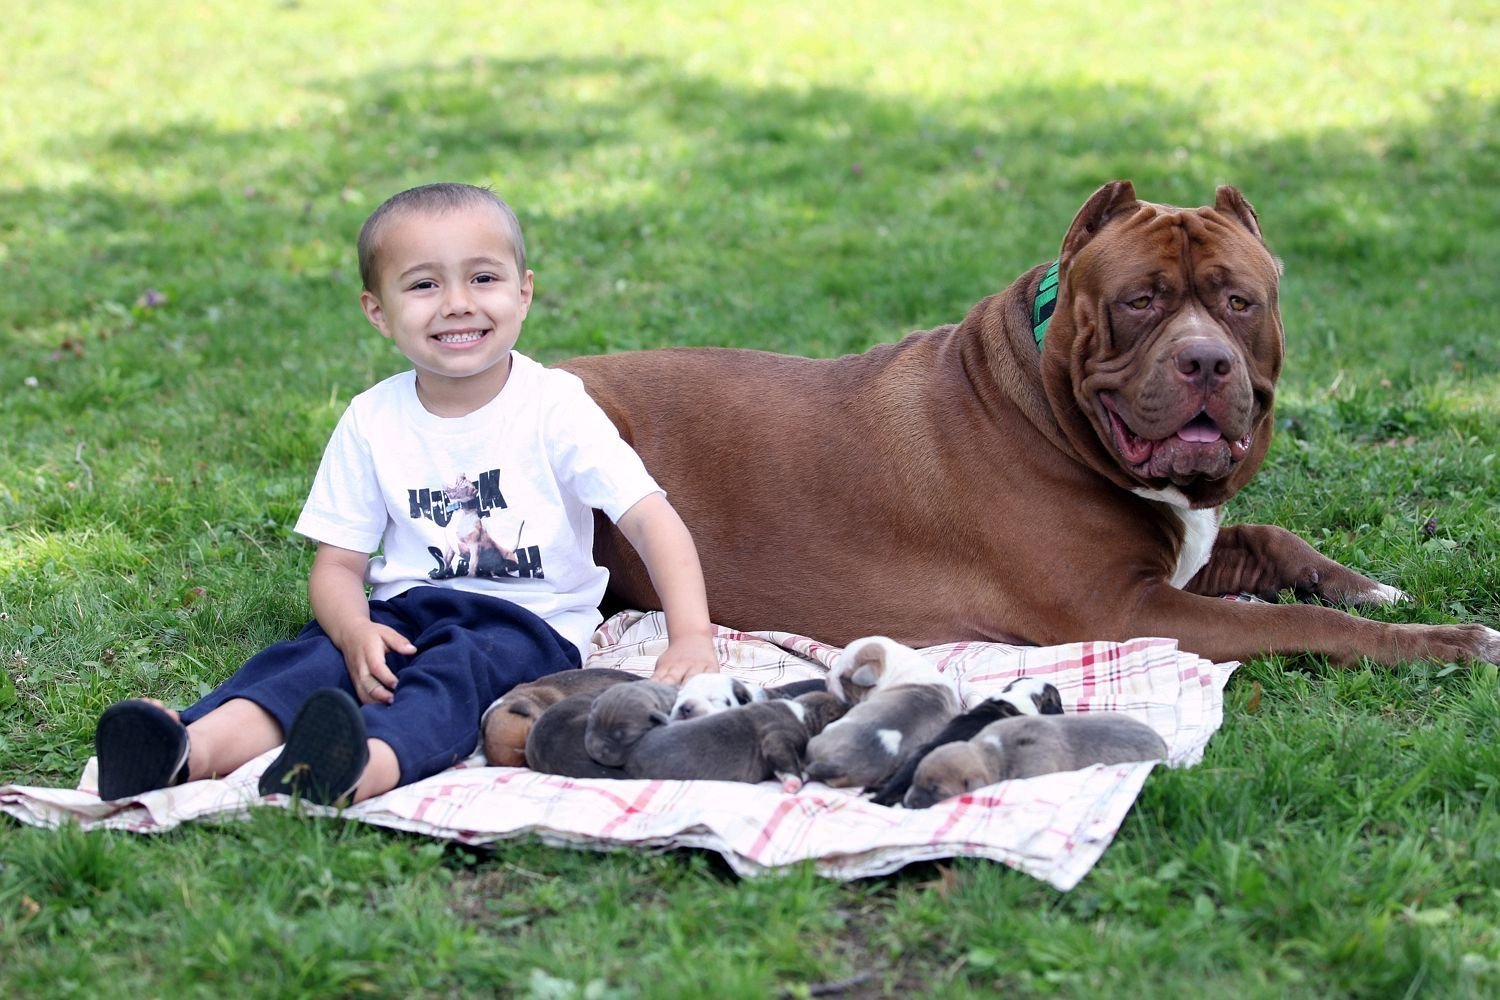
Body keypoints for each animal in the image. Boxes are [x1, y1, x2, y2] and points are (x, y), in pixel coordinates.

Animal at [562, 182, 1499, 667]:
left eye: (1239, 301)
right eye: (1140, 301)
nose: (1205, 362)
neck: (1045, 406)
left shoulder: (1183, 561)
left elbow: (1273, 539)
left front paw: (1369, 585)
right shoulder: (1122, 611)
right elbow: (1291, 623)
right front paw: (1446, 641)